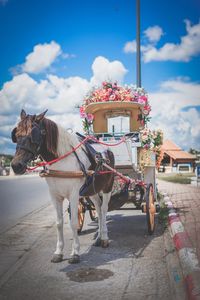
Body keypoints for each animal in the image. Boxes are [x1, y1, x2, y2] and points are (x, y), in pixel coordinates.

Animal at [10, 109, 115, 264]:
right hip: (91, 190)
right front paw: (59, 252)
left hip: (108, 186)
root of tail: (106, 149)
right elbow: (59, 223)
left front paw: (75, 253)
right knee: (98, 207)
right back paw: (98, 237)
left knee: (103, 209)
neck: (62, 162)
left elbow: (73, 222)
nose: (16, 166)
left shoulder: (74, 195)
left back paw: (105, 238)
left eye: (32, 135)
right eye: (16, 135)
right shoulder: (55, 195)